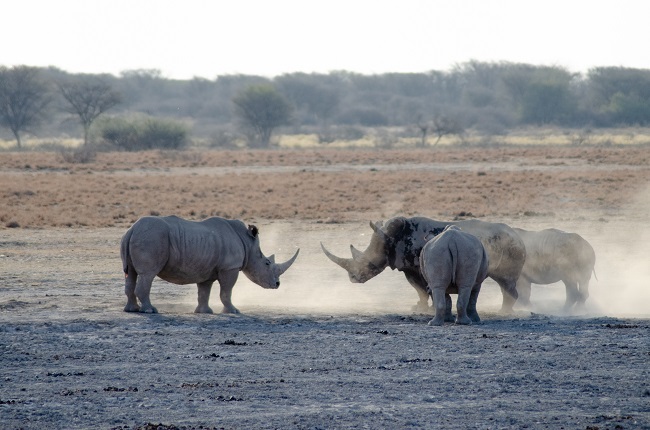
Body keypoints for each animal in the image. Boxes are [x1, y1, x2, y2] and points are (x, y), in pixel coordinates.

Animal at [120, 216, 299, 314]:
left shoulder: (206, 270)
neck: (248, 244)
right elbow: (226, 291)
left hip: (138, 237)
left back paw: (132, 310)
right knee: (147, 274)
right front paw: (233, 311)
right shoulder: (230, 267)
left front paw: (204, 312)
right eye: (267, 263)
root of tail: (132, 229)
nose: (277, 284)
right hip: (152, 237)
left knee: (131, 274)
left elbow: (204, 292)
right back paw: (151, 310)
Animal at [321, 216, 526, 313]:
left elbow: (425, 287)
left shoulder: (418, 266)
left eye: (370, 265)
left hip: (509, 246)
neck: (391, 239)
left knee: (506, 281)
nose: (353, 279)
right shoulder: (408, 266)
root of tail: (518, 236)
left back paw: (504, 311)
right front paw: (418, 307)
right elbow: (418, 289)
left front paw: (429, 307)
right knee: (504, 283)